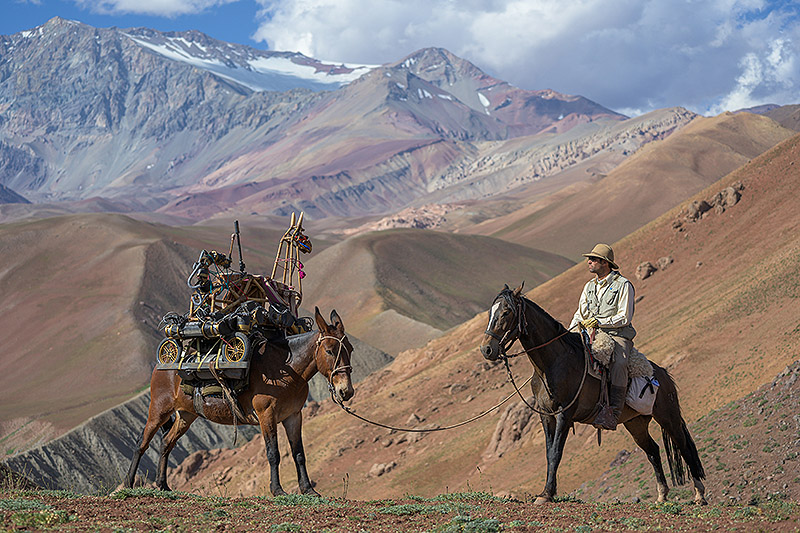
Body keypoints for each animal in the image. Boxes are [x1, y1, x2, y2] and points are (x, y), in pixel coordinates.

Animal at [125, 307, 354, 496]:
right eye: (330, 350)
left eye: (350, 349)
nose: (346, 391)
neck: (288, 369)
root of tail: (162, 364)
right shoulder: (266, 415)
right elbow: (273, 453)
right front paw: (277, 490)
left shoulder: (293, 416)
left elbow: (299, 453)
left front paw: (308, 490)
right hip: (159, 410)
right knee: (141, 443)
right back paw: (128, 483)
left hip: (186, 415)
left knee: (166, 443)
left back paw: (163, 485)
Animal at [480, 284, 706, 505]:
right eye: (491, 312)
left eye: (506, 312)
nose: (486, 349)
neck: (552, 364)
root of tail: (663, 375)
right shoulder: (546, 415)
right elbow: (548, 453)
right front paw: (546, 492)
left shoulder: (564, 413)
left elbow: (555, 453)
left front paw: (547, 494)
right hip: (635, 423)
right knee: (653, 451)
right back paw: (662, 496)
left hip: (668, 417)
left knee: (684, 447)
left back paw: (699, 494)